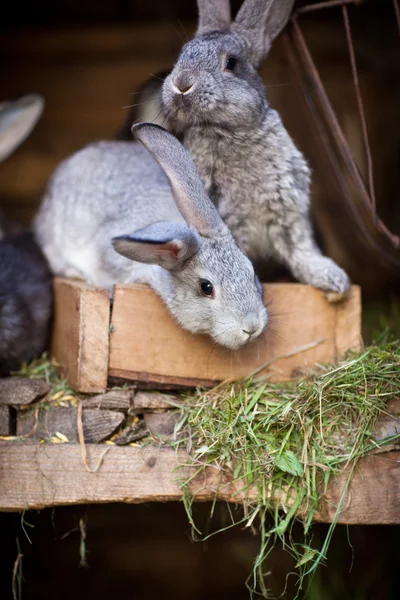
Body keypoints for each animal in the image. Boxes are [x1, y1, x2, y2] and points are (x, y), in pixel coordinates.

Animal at [121, 0, 350, 300]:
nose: (181, 84)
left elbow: (301, 250)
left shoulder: (289, 212)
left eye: (231, 63)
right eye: (181, 56)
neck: (227, 132)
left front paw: (334, 282)